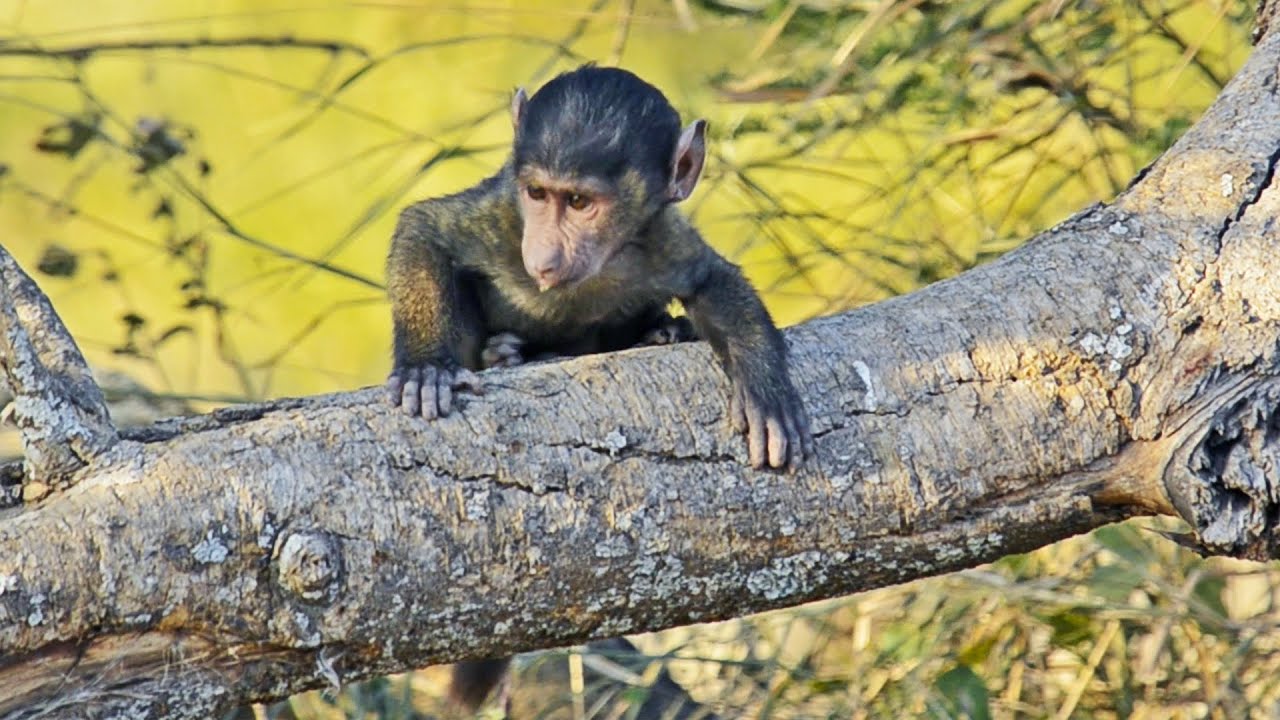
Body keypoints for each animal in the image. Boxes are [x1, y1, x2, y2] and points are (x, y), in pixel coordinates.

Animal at [384, 64, 813, 711]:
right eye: (539, 195)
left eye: (581, 202)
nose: (543, 254)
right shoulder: (503, 216)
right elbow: (425, 230)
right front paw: (425, 365)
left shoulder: (659, 237)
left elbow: (714, 280)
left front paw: (764, 385)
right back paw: (506, 354)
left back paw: (660, 333)